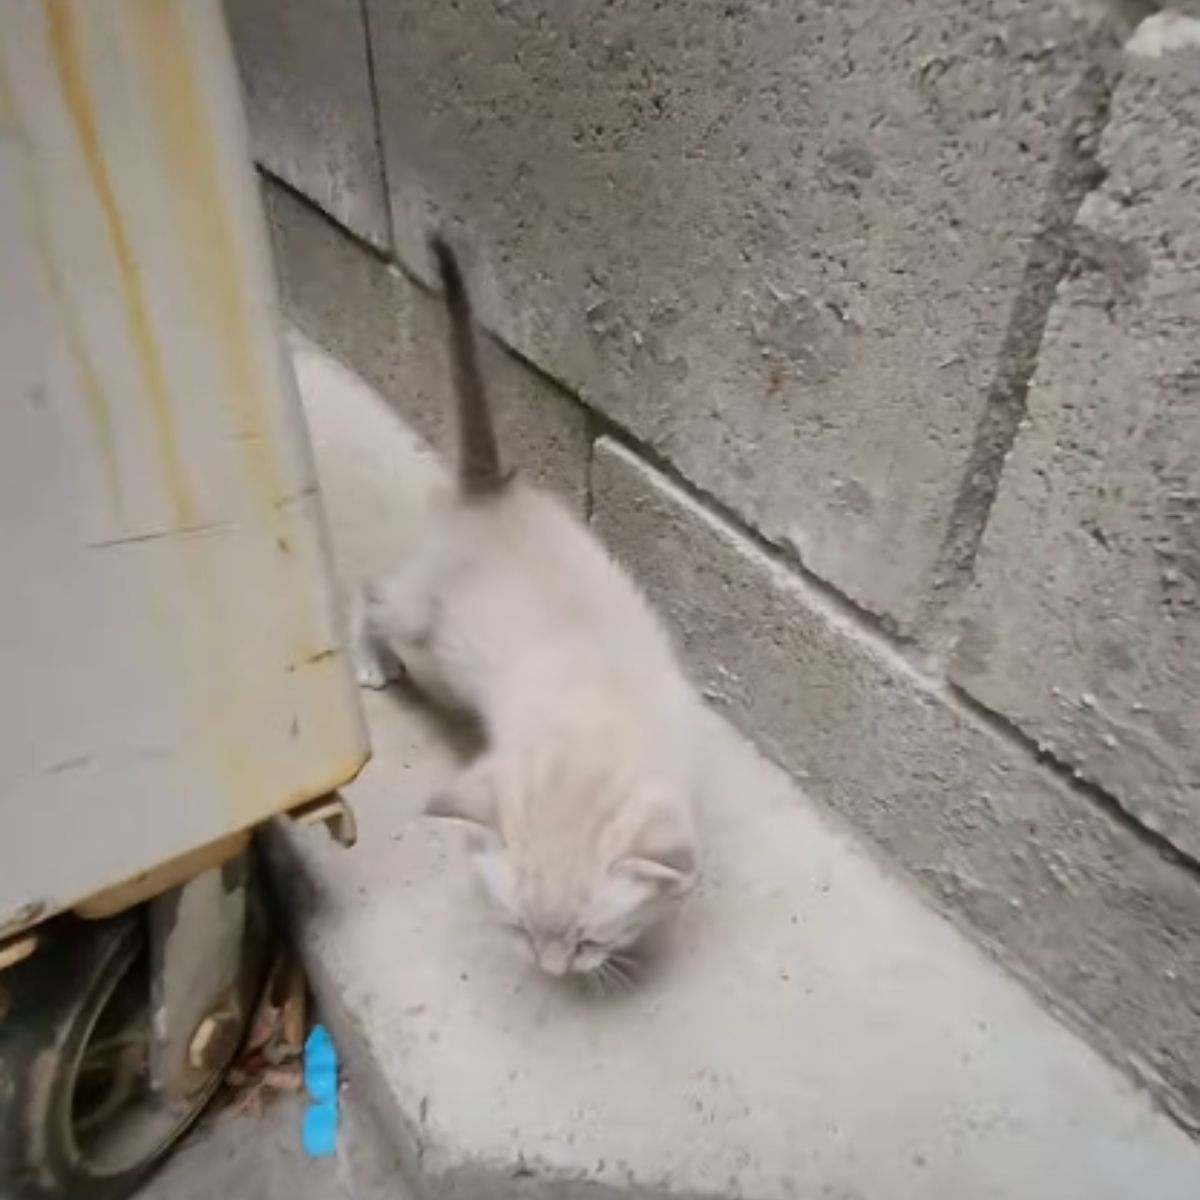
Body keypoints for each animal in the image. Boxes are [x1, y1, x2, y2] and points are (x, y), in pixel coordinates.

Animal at [355, 238, 700, 979]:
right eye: (516, 928)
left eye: (590, 941)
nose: (551, 970)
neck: (594, 723)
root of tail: (489, 493)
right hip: (421, 618)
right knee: (371, 593)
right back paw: (370, 660)